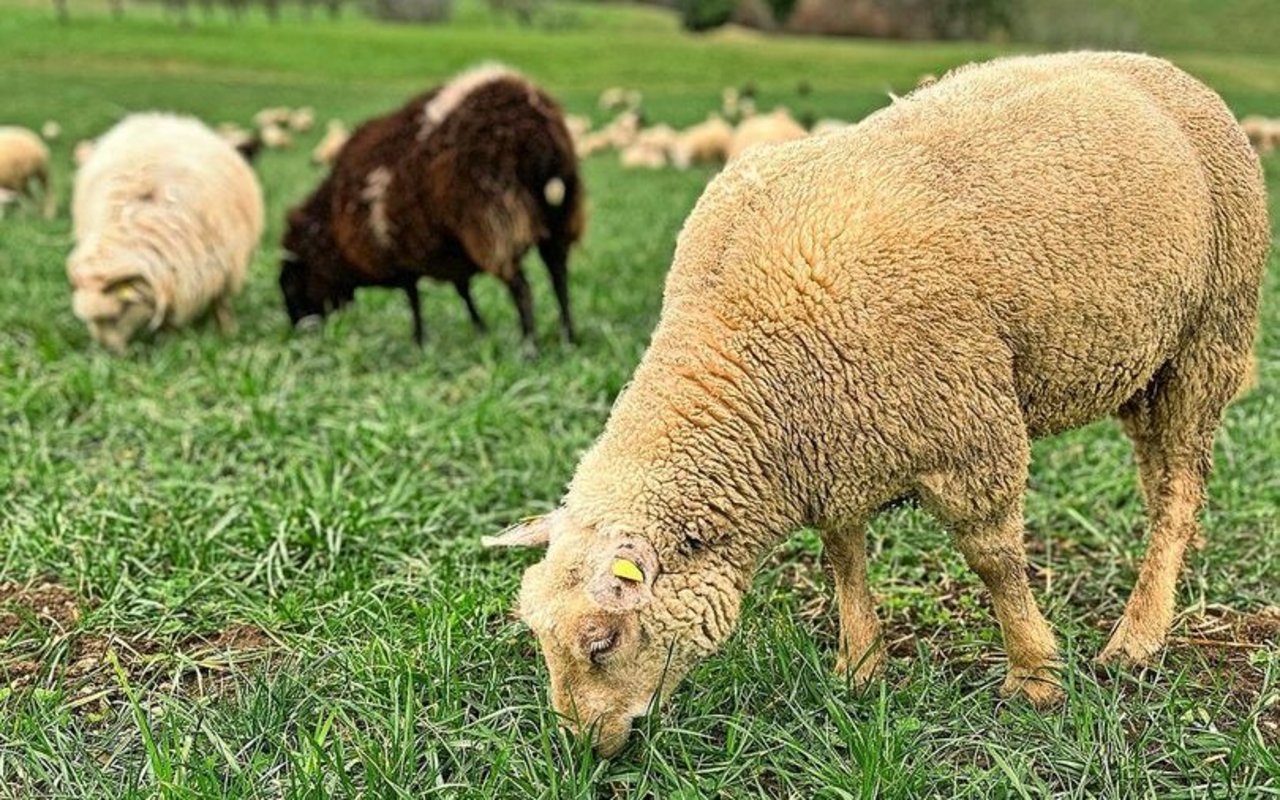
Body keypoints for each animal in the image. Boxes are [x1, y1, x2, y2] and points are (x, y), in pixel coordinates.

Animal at [70, 113, 264, 353]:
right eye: (90, 320)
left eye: (121, 310)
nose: (110, 354)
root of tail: (160, 118)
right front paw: (169, 340)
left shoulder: (223, 266)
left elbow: (221, 301)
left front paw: (227, 333)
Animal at [282, 64, 586, 345]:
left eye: (292, 286)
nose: (299, 331)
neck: (333, 225)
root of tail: (535, 130)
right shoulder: (447, 251)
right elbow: (463, 290)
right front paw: (480, 331)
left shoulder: (399, 254)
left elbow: (414, 300)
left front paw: (419, 340)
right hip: (561, 214)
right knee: (559, 277)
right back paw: (568, 336)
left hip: (495, 219)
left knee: (521, 288)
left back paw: (529, 345)